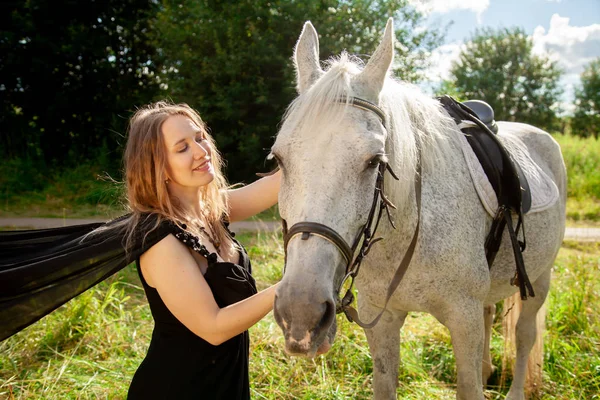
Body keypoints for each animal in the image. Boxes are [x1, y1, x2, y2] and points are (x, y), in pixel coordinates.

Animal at [272, 18, 568, 400]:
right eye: (279, 159)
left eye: (374, 161)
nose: (301, 314)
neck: (410, 231)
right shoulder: (380, 319)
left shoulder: (463, 318)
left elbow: (470, 385)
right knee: (491, 314)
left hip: (541, 278)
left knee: (524, 336)